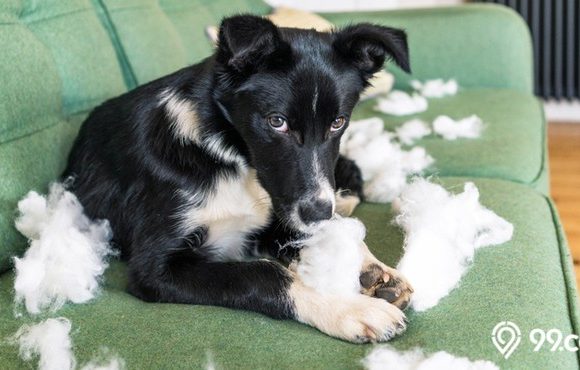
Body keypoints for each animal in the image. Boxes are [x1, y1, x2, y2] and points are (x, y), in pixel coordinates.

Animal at [64, 14, 412, 344]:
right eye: (276, 121)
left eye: (338, 122)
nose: (318, 212)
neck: (228, 157)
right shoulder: (154, 268)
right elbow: (262, 273)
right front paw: (347, 308)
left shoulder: (279, 209)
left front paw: (370, 267)